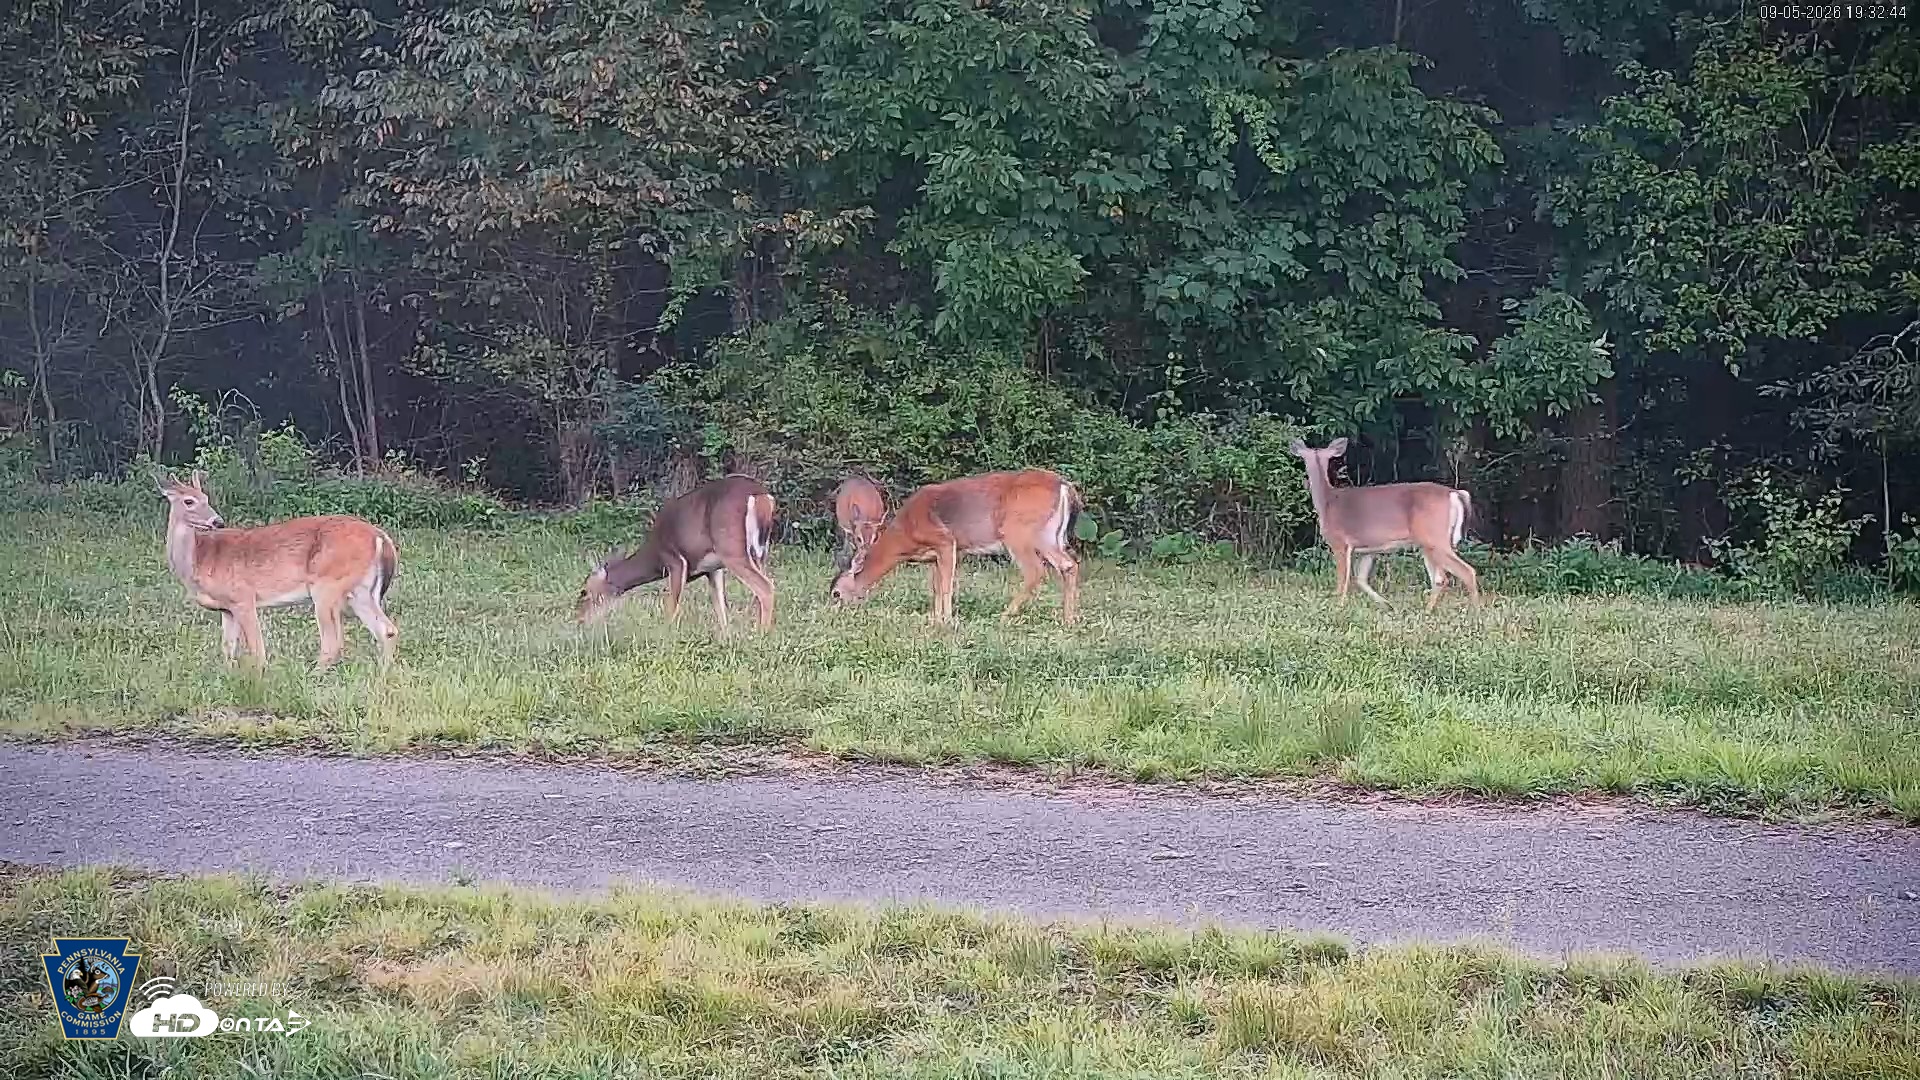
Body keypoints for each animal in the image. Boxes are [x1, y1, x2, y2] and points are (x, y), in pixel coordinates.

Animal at [156, 469, 400, 670]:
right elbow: (227, 651)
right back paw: (383, 673)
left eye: (205, 498)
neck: (200, 559)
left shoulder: (243, 597)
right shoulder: (226, 609)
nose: (218, 521)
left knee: (333, 642)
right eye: (189, 501)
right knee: (386, 630)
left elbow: (257, 650)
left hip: (327, 584)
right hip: (360, 590)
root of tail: (380, 537)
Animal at [575, 474, 776, 631]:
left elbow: (672, 606)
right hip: (760, 551)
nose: (580, 620)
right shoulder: (713, 568)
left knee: (765, 587)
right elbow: (720, 607)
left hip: (731, 548)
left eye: (584, 592)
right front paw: (726, 638)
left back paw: (762, 634)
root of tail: (761, 496)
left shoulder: (676, 561)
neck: (654, 557)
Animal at [830, 469, 1082, 625]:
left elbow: (946, 585)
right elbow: (936, 586)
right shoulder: (935, 556)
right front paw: (936, 618)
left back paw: (1004, 616)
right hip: (1050, 536)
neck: (906, 534)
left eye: (836, 593)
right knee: (1069, 565)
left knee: (1035, 571)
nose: (832, 613)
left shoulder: (945, 541)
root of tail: (1064, 487)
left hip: (1018, 532)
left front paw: (948, 621)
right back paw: (1068, 620)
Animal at [1291, 438, 1481, 611]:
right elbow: (1361, 579)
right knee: (1440, 578)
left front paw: (1338, 607)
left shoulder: (1339, 543)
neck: (1327, 503)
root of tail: (1455, 493)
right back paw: (1428, 611)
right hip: (1431, 543)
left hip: (1434, 537)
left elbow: (1342, 581)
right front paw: (1387, 605)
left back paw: (1474, 612)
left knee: (1466, 571)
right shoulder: (1369, 549)